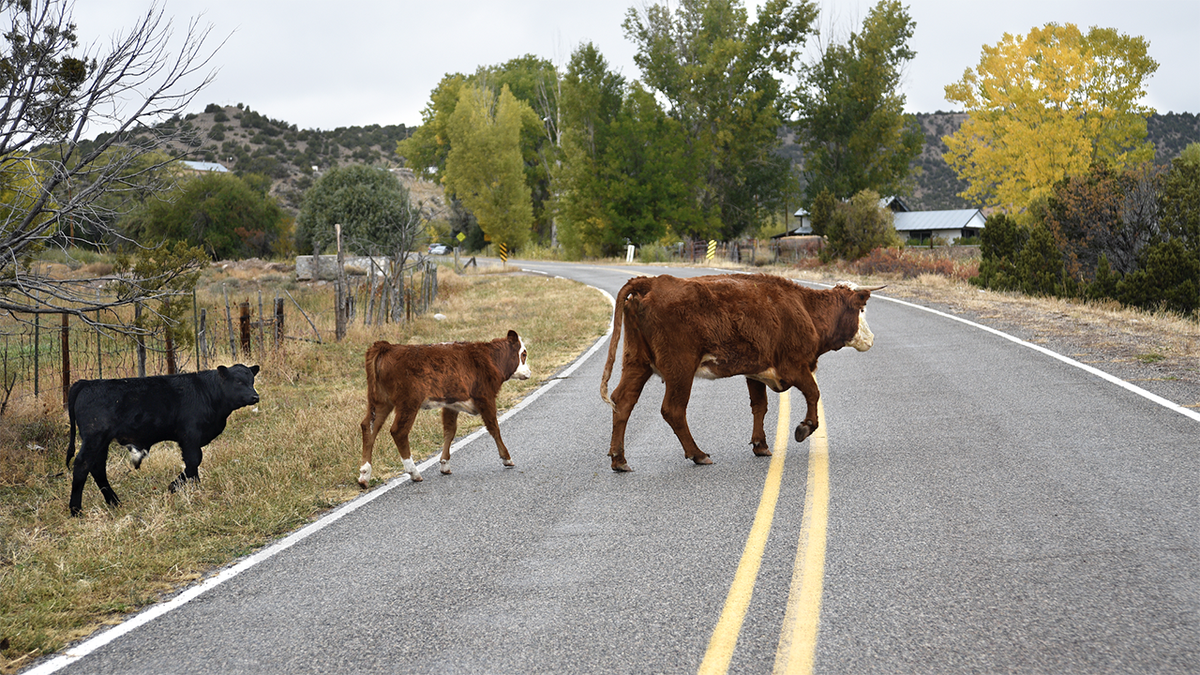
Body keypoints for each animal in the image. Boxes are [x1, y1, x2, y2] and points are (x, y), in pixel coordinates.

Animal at [357, 326, 532, 480]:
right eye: (523, 353)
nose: (529, 372)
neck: (488, 358)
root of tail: (387, 346)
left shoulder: (451, 404)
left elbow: (449, 431)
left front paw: (444, 464)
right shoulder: (485, 398)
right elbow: (494, 427)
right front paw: (507, 458)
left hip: (380, 401)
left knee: (369, 427)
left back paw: (364, 474)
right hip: (408, 403)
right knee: (398, 431)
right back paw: (414, 472)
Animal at [600, 271, 883, 468]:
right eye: (861, 309)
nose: (871, 339)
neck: (804, 309)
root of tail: (653, 282)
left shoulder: (756, 371)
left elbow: (760, 406)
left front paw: (760, 444)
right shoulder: (795, 367)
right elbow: (814, 393)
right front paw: (805, 427)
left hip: (637, 363)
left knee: (622, 401)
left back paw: (619, 459)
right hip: (680, 370)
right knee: (673, 410)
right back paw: (698, 454)